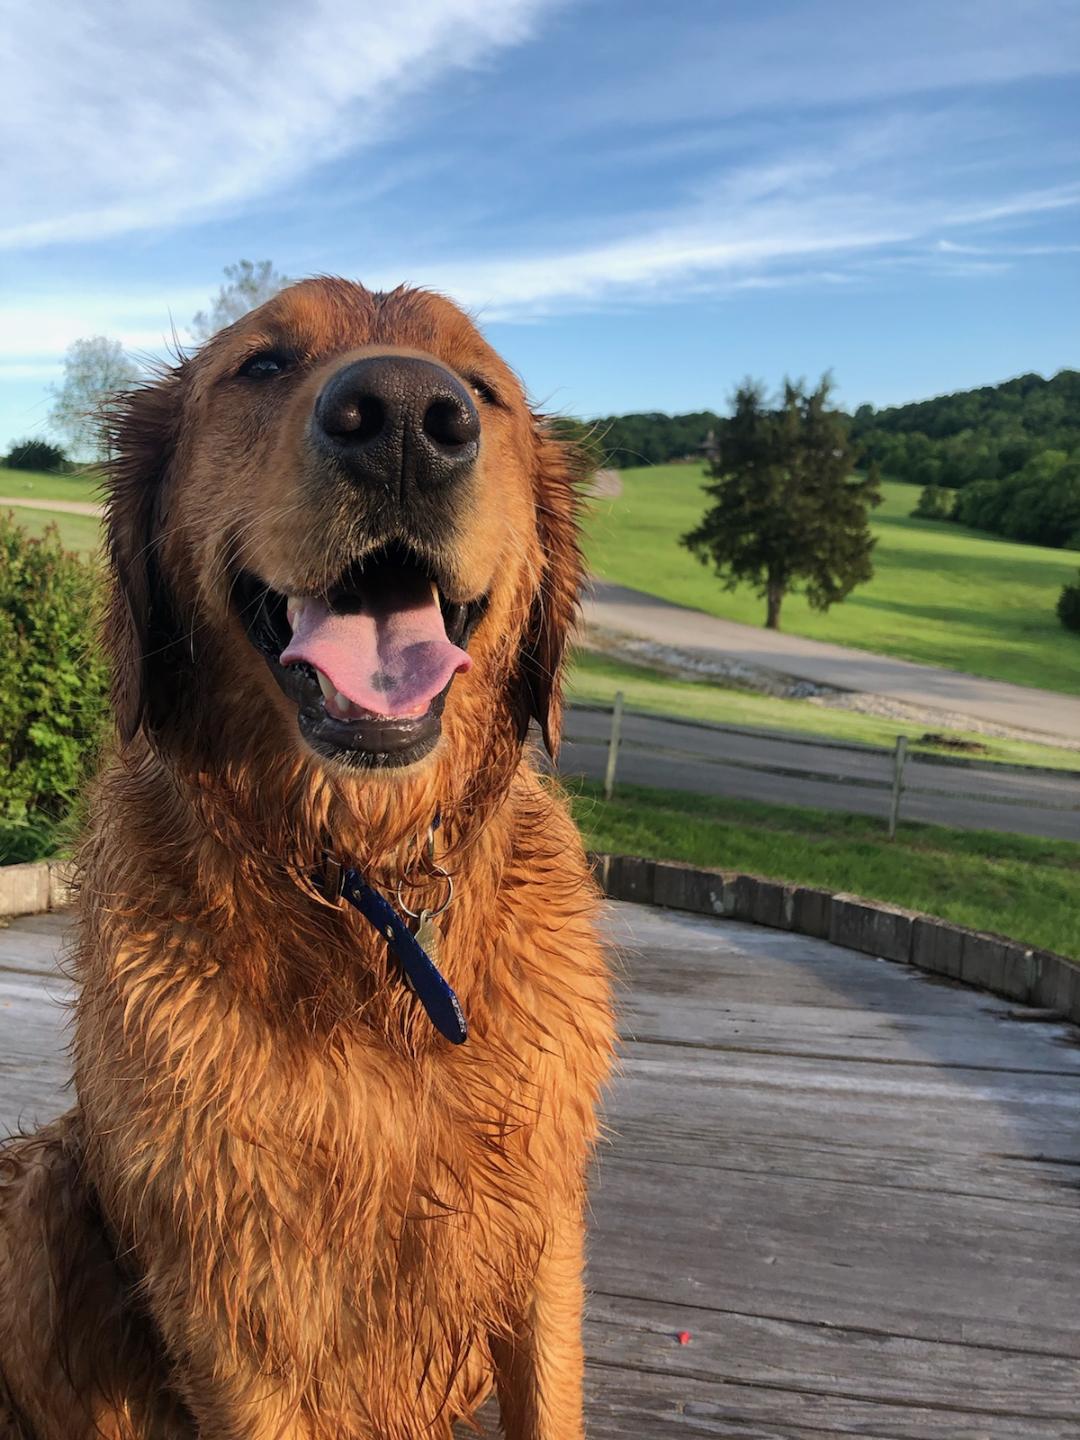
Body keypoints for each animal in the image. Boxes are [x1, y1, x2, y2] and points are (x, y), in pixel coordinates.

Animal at [0, 280, 616, 1440]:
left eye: (483, 389)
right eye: (263, 364)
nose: (408, 418)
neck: (369, 891)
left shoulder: (543, 1222)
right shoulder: (225, 1286)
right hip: (41, 1192)